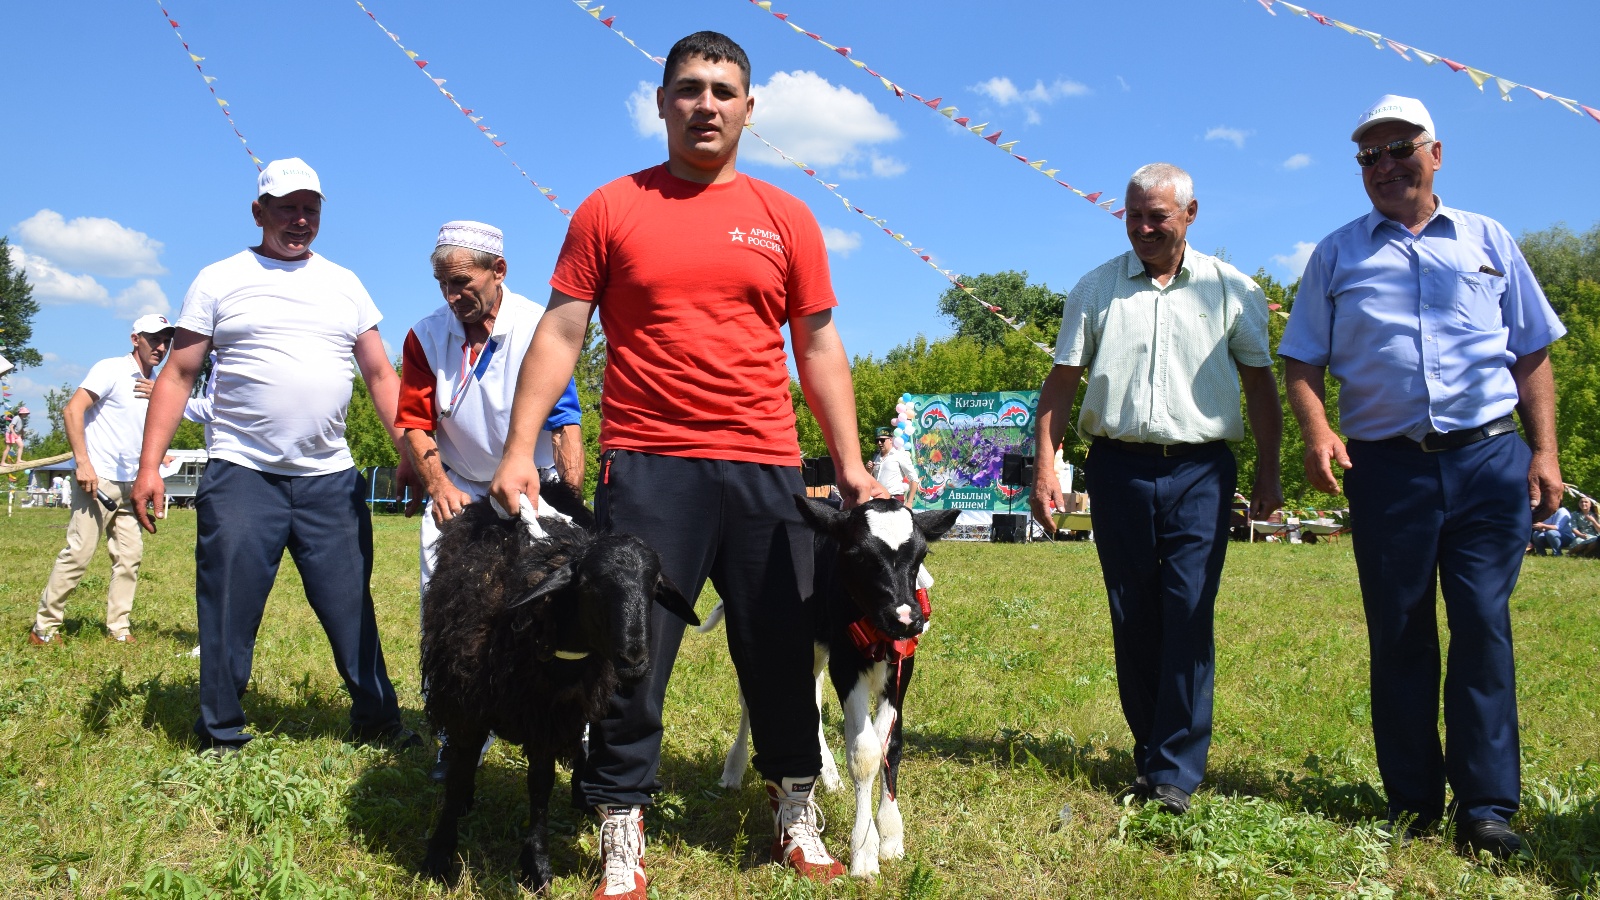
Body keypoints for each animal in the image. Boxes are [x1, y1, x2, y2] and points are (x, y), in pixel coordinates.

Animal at [710, 493, 953, 871]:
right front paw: (864, 853)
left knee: (811, 697)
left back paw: (830, 775)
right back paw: (733, 771)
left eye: (922, 554)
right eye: (857, 555)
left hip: (814, 649)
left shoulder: (902, 664)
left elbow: (889, 744)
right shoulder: (846, 663)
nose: (906, 618)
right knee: (751, 701)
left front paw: (891, 835)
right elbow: (865, 752)